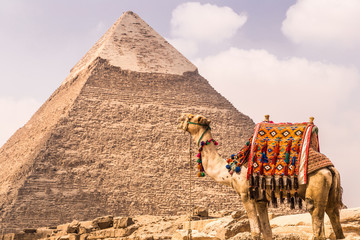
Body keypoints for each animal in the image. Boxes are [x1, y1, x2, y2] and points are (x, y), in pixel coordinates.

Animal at [179, 113, 344, 240]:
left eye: (192, 116)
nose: (180, 119)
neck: (230, 172)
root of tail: (330, 168)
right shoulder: (261, 199)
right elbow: (267, 231)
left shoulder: (246, 195)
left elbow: (255, 232)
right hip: (331, 192)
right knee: (335, 220)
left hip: (316, 187)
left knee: (316, 219)